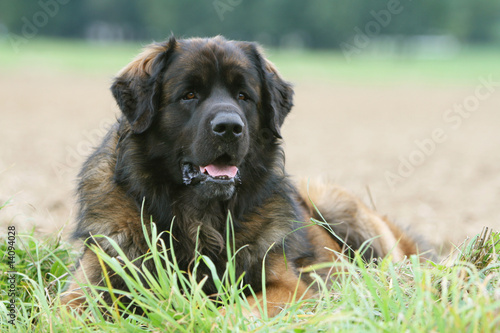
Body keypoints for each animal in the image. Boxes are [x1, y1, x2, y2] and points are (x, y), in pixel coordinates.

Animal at [61, 36, 422, 316]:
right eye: (189, 94)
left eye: (244, 96)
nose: (229, 127)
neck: (198, 220)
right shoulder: (90, 281)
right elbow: (68, 308)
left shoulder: (288, 286)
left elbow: (239, 309)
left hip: (338, 206)